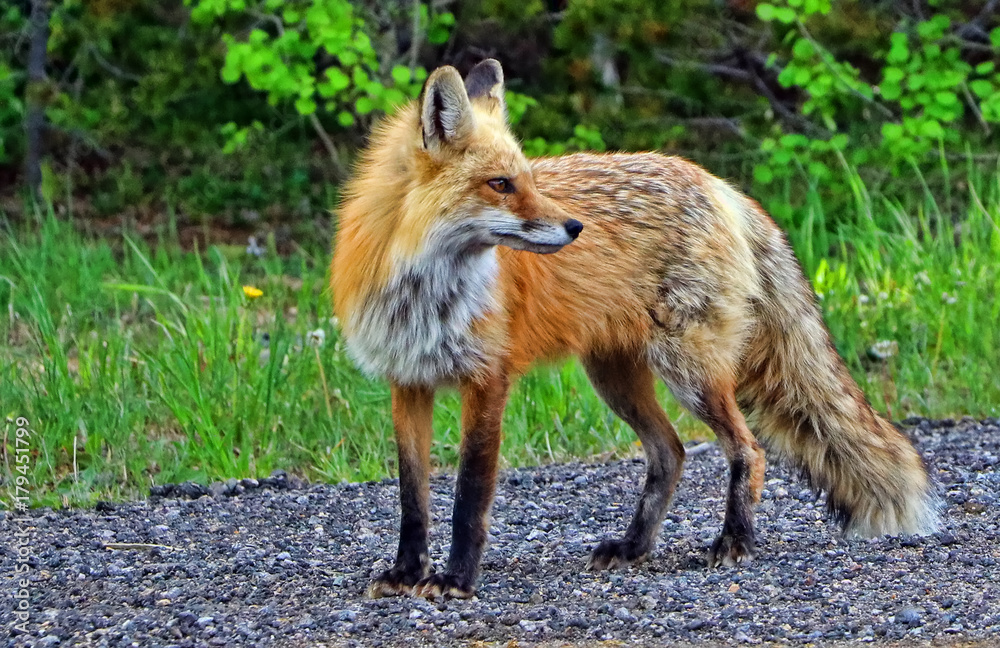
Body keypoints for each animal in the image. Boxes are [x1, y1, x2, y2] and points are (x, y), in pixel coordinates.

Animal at [330, 59, 939, 600]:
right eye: (500, 184)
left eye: (529, 179)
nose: (575, 227)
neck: (425, 292)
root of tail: (721, 185)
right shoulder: (408, 381)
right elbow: (413, 498)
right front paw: (407, 572)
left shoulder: (487, 380)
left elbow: (469, 495)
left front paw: (456, 580)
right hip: (615, 377)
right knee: (671, 453)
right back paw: (634, 547)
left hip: (689, 371)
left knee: (747, 450)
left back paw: (734, 542)